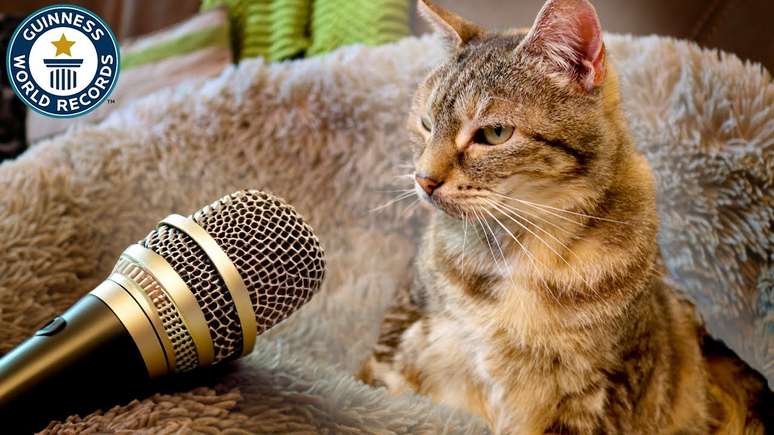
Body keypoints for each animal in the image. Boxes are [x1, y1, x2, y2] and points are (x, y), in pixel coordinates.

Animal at [360, 0, 772, 435]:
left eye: (494, 133)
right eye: (425, 124)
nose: (423, 180)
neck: (522, 247)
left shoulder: (601, 392)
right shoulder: (401, 334)